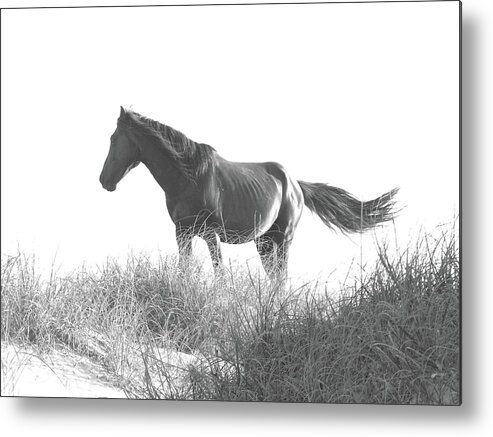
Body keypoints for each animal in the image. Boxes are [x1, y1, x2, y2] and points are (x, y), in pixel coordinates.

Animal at [98, 106, 398, 276]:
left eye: (113, 138)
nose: (103, 180)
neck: (189, 178)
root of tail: (296, 185)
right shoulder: (182, 232)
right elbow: (185, 270)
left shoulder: (209, 234)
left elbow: (220, 273)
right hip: (264, 242)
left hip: (283, 239)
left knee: (281, 279)